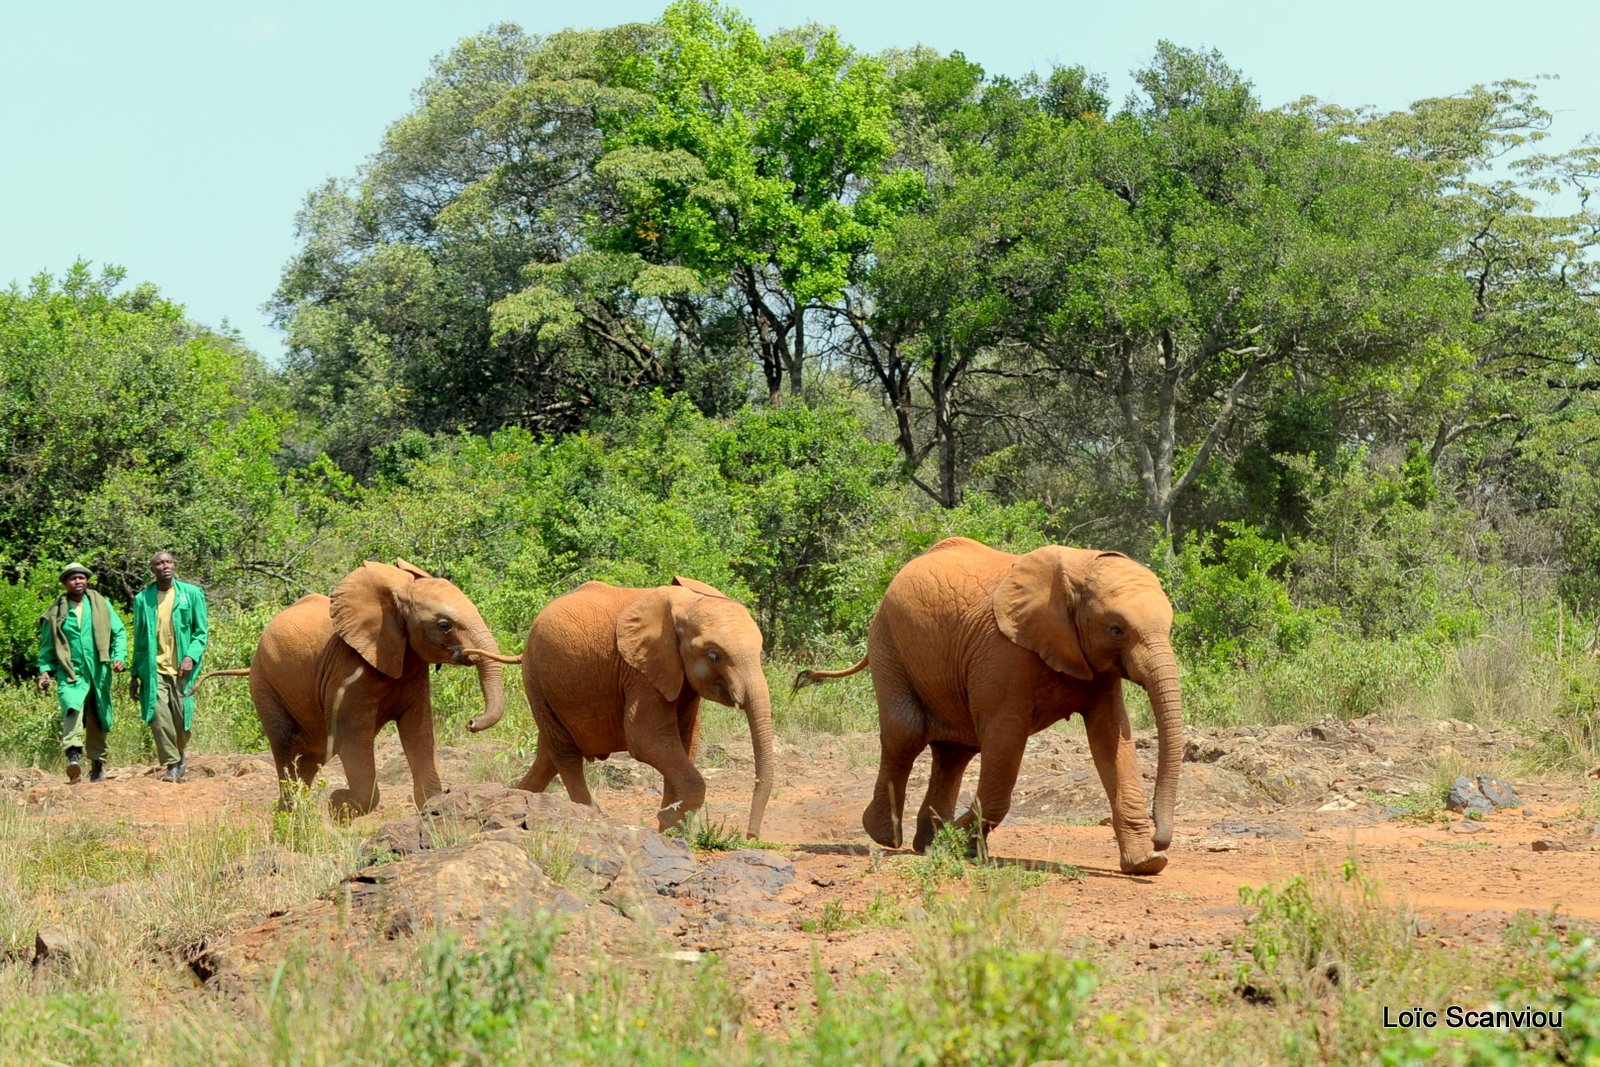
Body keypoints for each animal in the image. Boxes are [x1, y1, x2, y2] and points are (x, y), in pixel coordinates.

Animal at [200, 559, 502, 819]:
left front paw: (434, 810)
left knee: (312, 757)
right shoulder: (348, 672)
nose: (471, 722)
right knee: (286, 751)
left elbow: (419, 733)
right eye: (444, 625)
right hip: (265, 684)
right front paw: (338, 804)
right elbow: (353, 739)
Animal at [467, 579, 774, 838]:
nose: (751, 836)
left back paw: (513, 802)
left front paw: (671, 826)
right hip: (536, 680)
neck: (685, 601)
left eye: (760, 651)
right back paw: (592, 816)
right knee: (565, 753)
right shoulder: (639, 670)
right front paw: (668, 821)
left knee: (548, 754)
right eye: (713, 655)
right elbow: (646, 740)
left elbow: (686, 742)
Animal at [793, 537, 1184, 870]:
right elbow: (1004, 738)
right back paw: (887, 837)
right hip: (889, 643)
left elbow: (1112, 738)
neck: (1079, 566)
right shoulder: (1004, 654)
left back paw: (925, 842)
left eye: (1169, 627)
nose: (1160, 840)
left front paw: (1145, 864)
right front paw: (954, 843)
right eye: (1116, 629)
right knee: (907, 733)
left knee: (955, 751)